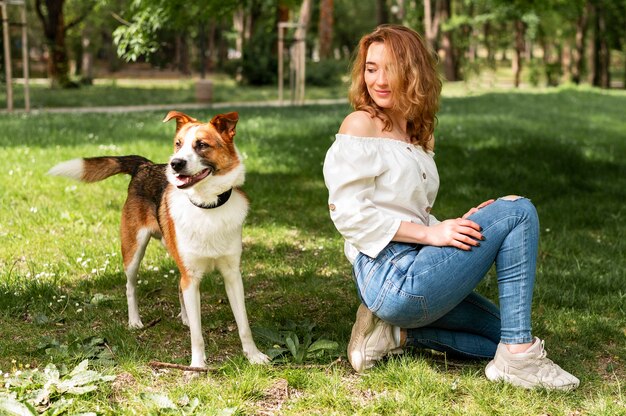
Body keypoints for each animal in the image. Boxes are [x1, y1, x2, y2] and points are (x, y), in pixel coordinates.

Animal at [49, 109, 270, 368]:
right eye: (178, 144)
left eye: (202, 145)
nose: (175, 164)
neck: (207, 206)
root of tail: (146, 165)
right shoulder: (191, 275)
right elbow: (197, 335)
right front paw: (197, 365)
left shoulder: (232, 275)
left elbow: (243, 323)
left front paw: (254, 355)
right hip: (133, 251)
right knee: (130, 286)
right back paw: (135, 320)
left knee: (178, 284)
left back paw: (185, 316)